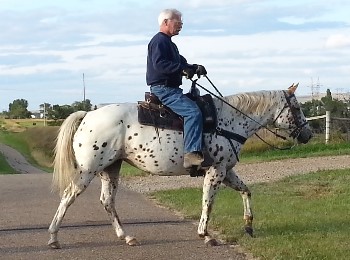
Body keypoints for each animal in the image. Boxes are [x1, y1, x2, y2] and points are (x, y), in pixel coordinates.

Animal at [47, 83, 312, 248]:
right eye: (297, 107)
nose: (308, 134)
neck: (229, 120)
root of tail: (87, 116)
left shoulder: (227, 170)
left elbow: (246, 191)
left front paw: (248, 226)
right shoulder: (216, 171)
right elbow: (208, 202)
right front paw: (205, 235)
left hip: (110, 169)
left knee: (107, 201)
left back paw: (127, 237)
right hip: (88, 170)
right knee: (68, 196)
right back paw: (53, 238)